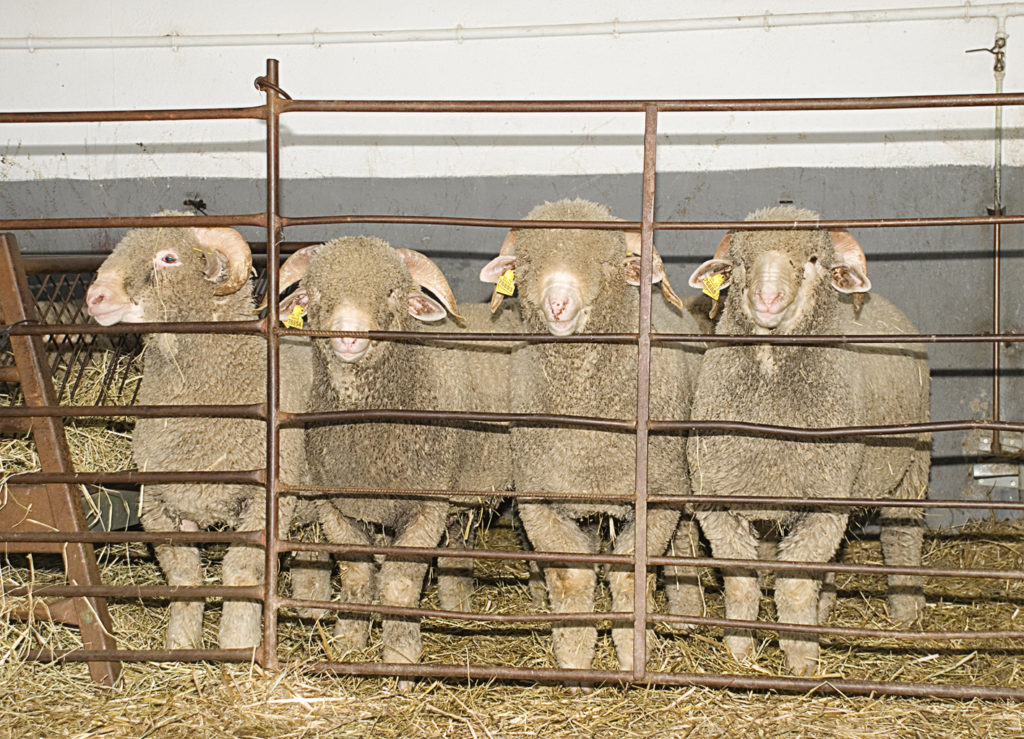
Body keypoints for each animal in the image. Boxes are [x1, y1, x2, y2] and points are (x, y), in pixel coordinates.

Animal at [86, 220, 321, 650]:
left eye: (168, 257)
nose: (96, 297)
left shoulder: (265, 502)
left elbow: (241, 572)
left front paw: (238, 643)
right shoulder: (159, 503)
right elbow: (183, 575)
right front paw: (180, 644)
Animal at [276, 236, 512, 667]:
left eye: (390, 292)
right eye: (315, 292)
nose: (348, 336)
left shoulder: (425, 508)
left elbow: (400, 584)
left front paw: (400, 654)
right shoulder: (338, 508)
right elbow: (356, 577)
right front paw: (349, 642)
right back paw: (458, 607)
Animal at [477, 197, 704, 675]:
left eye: (605, 263)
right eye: (527, 263)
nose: (558, 304)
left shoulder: (656, 499)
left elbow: (630, 576)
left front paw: (634, 656)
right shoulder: (540, 501)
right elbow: (571, 578)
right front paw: (576, 661)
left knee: (685, 542)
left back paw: (687, 612)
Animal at [688, 202, 929, 675]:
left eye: (814, 259)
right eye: (740, 261)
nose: (767, 299)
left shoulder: (822, 506)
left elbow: (796, 586)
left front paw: (801, 661)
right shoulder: (719, 501)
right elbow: (741, 583)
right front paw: (739, 653)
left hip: (911, 467)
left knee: (901, 538)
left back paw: (905, 614)